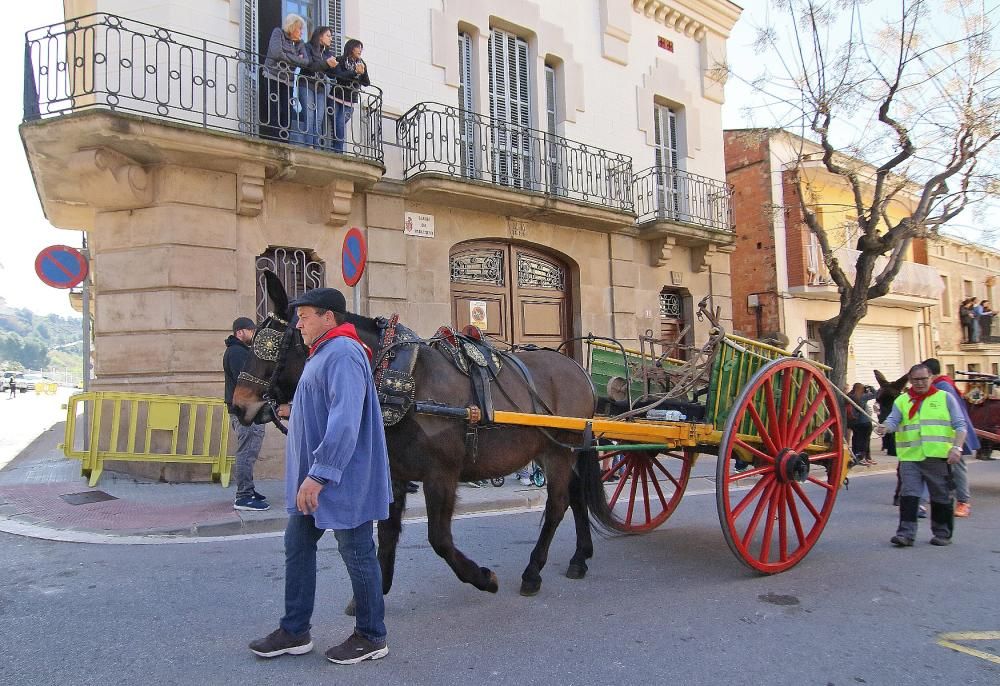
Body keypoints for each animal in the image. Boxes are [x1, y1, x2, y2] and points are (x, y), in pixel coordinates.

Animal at [230, 272, 616, 604]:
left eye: (275, 346)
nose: (238, 405)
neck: (398, 379)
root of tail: (577, 369)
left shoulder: (440, 475)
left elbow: (439, 539)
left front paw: (482, 578)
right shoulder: (396, 474)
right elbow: (387, 531)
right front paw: (375, 590)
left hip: (558, 452)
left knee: (557, 504)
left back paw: (533, 571)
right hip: (558, 450)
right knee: (576, 495)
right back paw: (580, 557)